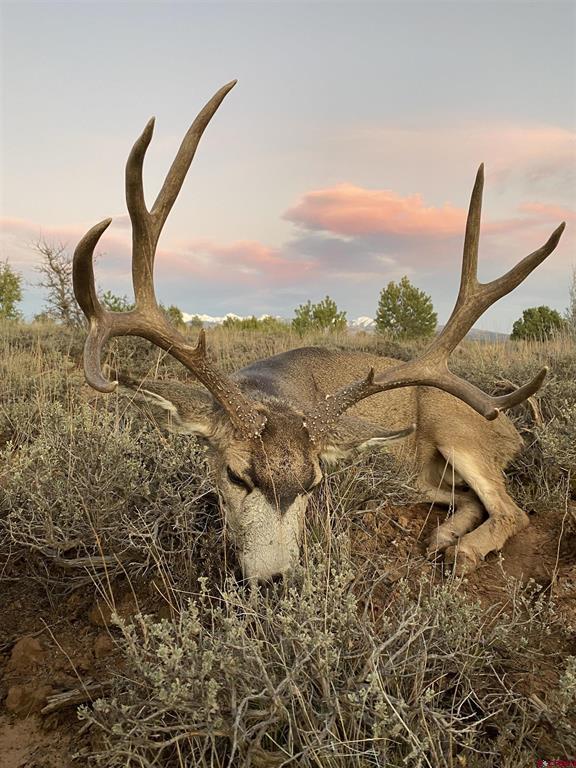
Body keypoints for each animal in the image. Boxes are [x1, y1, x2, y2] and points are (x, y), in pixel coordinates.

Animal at [72, 80, 565, 583]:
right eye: (236, 475)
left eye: (313, 484)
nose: (276, 579)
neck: (270, 388)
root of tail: (513, 431)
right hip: (425, 474)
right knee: (467, 499)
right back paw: (443, 536)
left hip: (458, 429)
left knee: (512, 509)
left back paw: (463, 550)